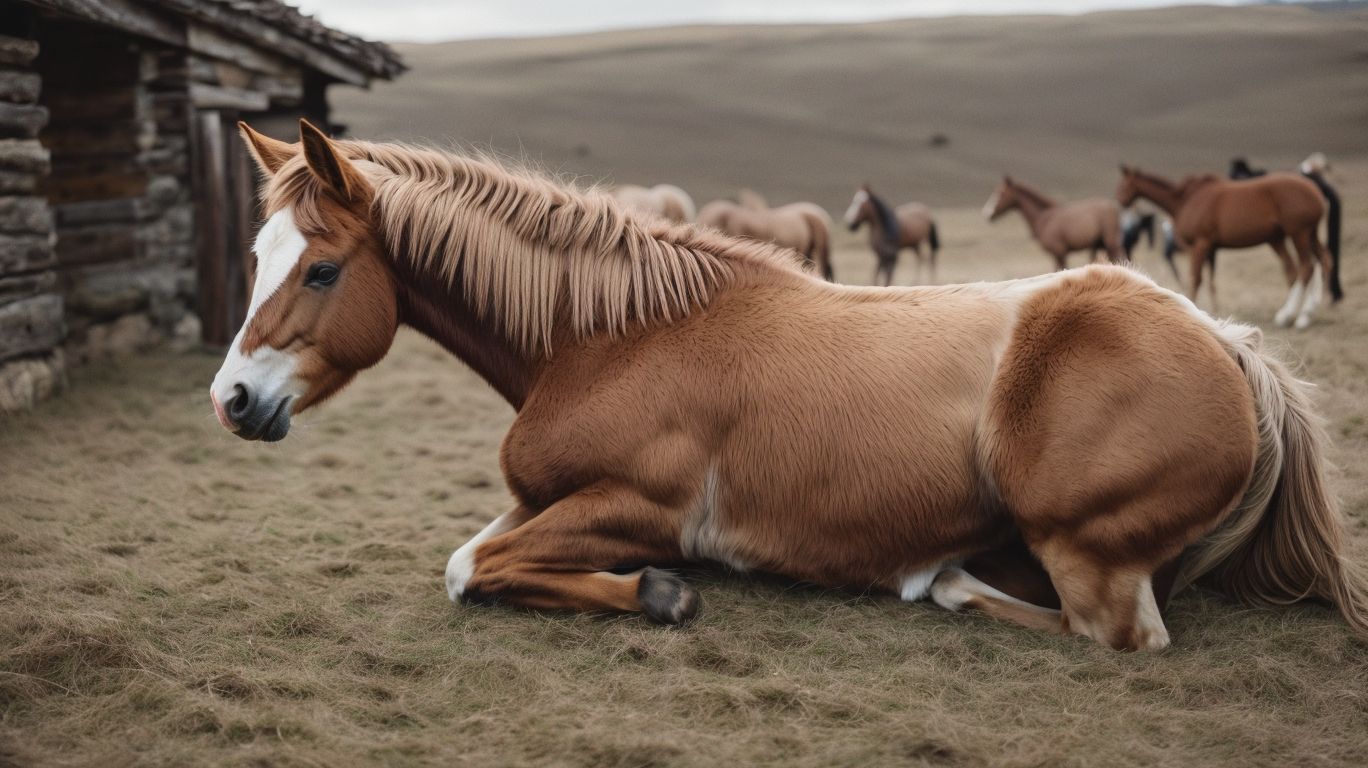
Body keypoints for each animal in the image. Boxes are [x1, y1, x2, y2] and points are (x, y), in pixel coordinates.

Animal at [982, 176, 1126, 270]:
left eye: (1000, 193)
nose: (987, 214)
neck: (1045, 217)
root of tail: (1115, 206)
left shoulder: (1059, 253)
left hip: (1111, 244)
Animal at [1117, 165, 1340, 328]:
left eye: (1123, 184)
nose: (1121, 202)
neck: (1186, 199)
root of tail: (1316, 189)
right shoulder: (1211, 248)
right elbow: (1210, 281)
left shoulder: (1199, 245)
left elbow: (1196, 279)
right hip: (1303, 235)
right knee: (1319, 262)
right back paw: (1308, 311)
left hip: (1299, 233)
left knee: (1307, 267)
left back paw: (1293, 316)